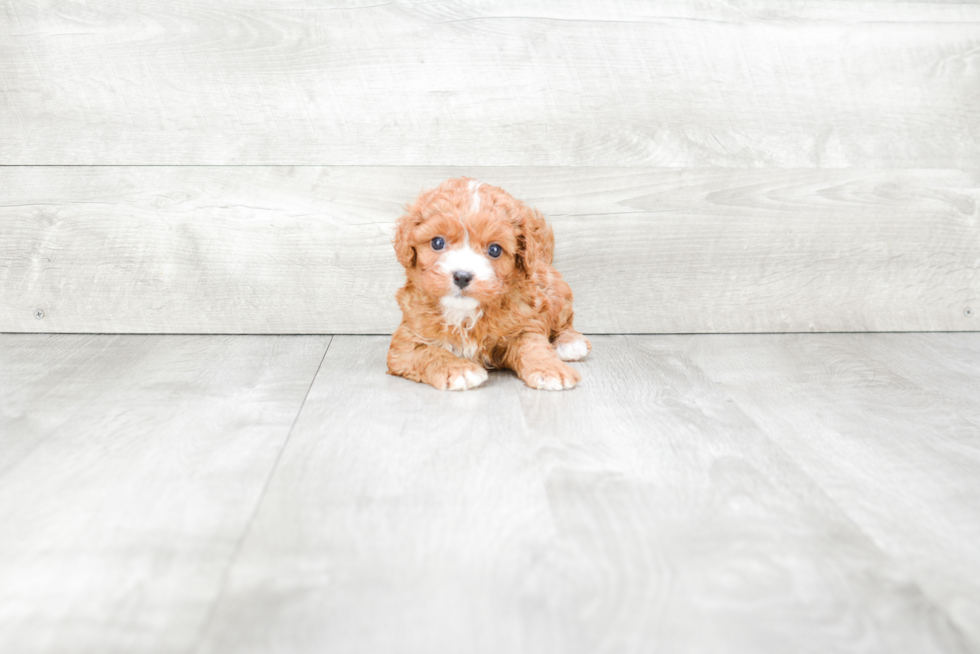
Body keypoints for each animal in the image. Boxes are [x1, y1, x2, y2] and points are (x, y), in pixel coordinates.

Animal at [386, 177, 588, 392]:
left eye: (494, 249)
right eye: (437, 243)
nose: (462, 276)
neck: (465, 314)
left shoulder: (525, 324)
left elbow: (534, 347)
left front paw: (550, 368)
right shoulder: (407, 342)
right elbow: (431, 353)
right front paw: (459, 370)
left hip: (556, 294)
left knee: (564, 322)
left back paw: (570, 343)